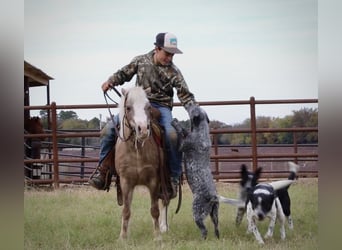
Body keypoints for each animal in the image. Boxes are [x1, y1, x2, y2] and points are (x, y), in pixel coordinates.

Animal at [115, 86, 171, 240]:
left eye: (148, 107)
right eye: (128, 108)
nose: (143, 129)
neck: (137, 150)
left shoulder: (154, 180)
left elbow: (154, 209)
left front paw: (157, 236)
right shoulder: (125, 181)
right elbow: (126, 210)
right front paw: (123, 237)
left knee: (165, 199)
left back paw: (164, 227)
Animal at [171, 104, 219, 239]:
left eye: (193, 108)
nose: (190, 103)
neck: (202, 131)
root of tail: (213, 197)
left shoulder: (182, 145)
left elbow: (180, 130)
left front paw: (175, 122)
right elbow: (185, 131)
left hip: (197, 213)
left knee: (204, 230)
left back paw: (202, 239)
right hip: (214, 214)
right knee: (216, 228)